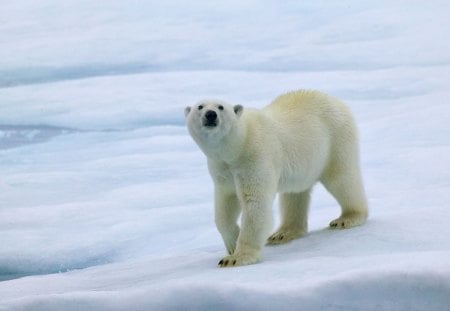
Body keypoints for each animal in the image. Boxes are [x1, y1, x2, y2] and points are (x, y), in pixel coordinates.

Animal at [185, 89, 368, 268]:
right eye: (200, 106)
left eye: (221, 107)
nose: (210, 114)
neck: (238, 145)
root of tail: (336, 100)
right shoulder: (222, 168)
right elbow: (226, 203)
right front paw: (232, 243)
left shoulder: (255, 158)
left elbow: (255, 203)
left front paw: (236, 258)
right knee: (294, 194)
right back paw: (283, 233)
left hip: (336, 140)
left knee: (342, 180)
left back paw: (348, 218)